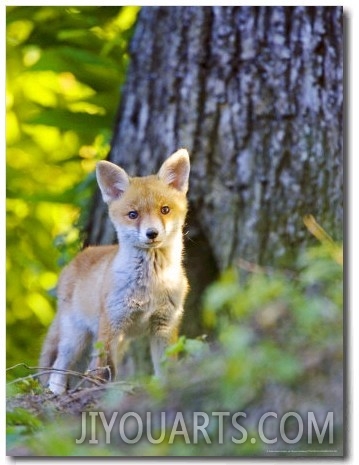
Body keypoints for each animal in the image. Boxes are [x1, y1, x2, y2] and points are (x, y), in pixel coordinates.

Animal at [38, 148, 191, 392]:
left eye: (165, 210)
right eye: (133, 214)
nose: (152, 233)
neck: (150, 286)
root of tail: (78, 258)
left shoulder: (164, 325)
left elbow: (166, 368)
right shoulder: (112, 323)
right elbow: (101, 370)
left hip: (118, 341)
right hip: (77, 337)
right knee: (58, 366)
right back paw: (56, 393)